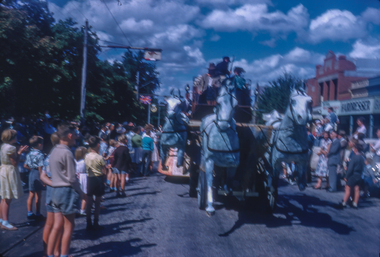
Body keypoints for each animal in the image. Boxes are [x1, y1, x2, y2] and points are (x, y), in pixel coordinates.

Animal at [200, 81, 239, 214]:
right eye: (218, 102)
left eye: (236, 104)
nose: (223, 125)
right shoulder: (209, 160)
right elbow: (209, 181)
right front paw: (210, 206)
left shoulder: (233, 162)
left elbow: (230, 178)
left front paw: (228, 189)